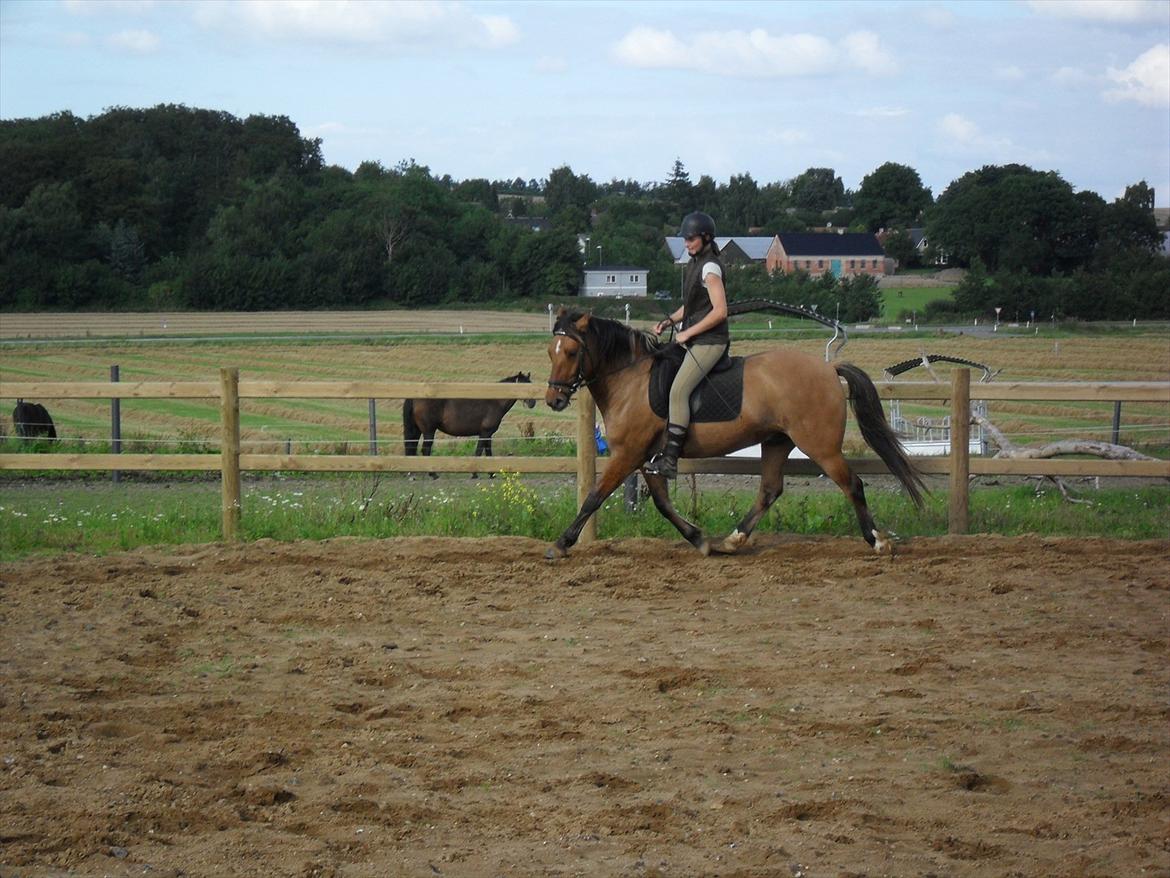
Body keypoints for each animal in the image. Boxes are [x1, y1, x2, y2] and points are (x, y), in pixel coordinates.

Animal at [400, 372, 533, 482]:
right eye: (523, 385)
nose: (532, 403)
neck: (495, 401)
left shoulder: (488, 434)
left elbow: (488, 452)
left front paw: (491, 474)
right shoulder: (485, 433)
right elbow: (479, 451)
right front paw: (474, 474)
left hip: (417, 430)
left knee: (411, 447)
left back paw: (413, 474)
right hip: (429, 431)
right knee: (425, 449)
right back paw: (433, 475)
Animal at [542, 309, 926, 557]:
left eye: (572, 351)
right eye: (550, 351)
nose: (553, 400)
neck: (631, 378)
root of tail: (829, 368)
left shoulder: (628, 453)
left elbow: (594, 496)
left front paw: (561, 543)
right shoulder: (644, 457)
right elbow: (663, 504)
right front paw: (698, 539)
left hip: (820, 445)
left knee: (853, 484)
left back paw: (877, 541)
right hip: (777, 441)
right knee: (770, 490)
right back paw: (733, 540)